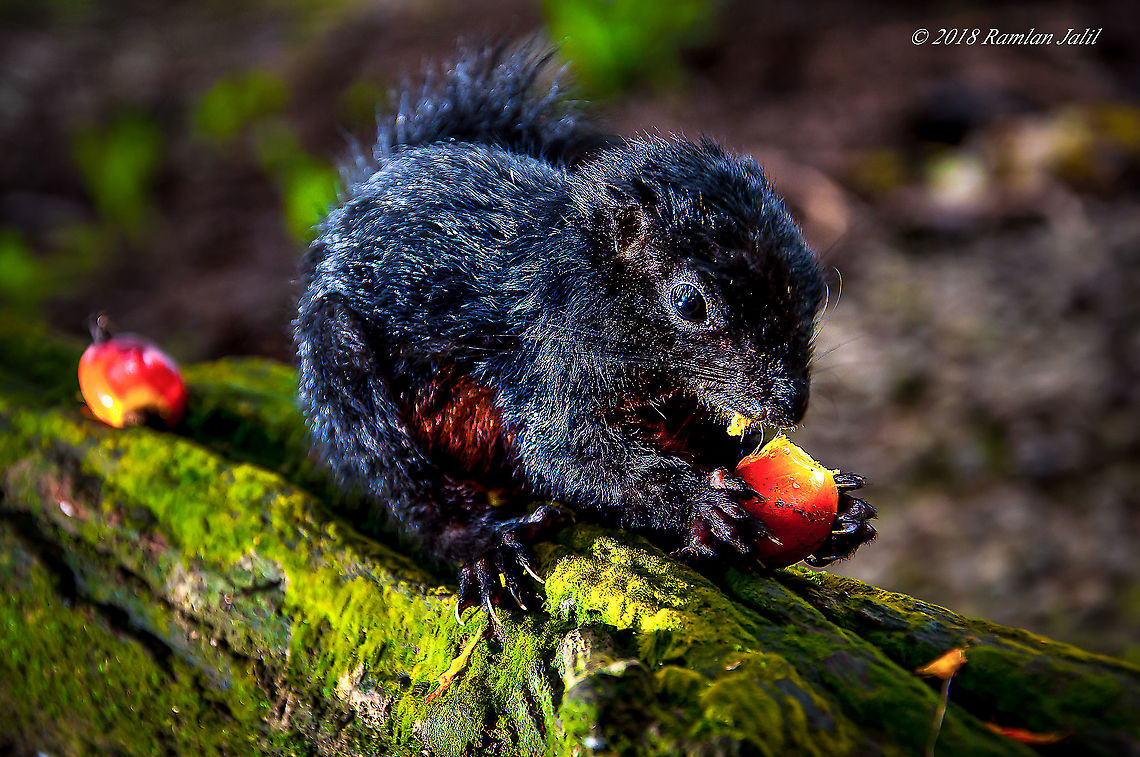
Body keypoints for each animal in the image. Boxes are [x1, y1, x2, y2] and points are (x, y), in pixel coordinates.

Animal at [294, 43, 876, 621]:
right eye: (690, 303)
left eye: (814, 290)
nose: (792, 405)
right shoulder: (551, 358)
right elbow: (566, 451)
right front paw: (701, 503)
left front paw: (842, 513)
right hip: (341, 369)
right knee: (404, 483)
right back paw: (486, 545)